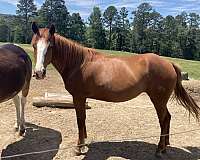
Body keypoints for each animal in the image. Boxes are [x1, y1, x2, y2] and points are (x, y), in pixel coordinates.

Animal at [31, 22, 200, 156]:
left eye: (50, 46)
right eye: (34, 45)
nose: (39, 72)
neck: (79, 63)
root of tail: (169, 63)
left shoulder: (78, 97)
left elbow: (80, 120)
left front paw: (79, 148)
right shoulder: (82, 98)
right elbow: (83, 120)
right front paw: (84, 142)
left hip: (158, 100)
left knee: (164, 120)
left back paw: (159, 149)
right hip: (162, 101)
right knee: (168, 118)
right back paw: (166, 145)